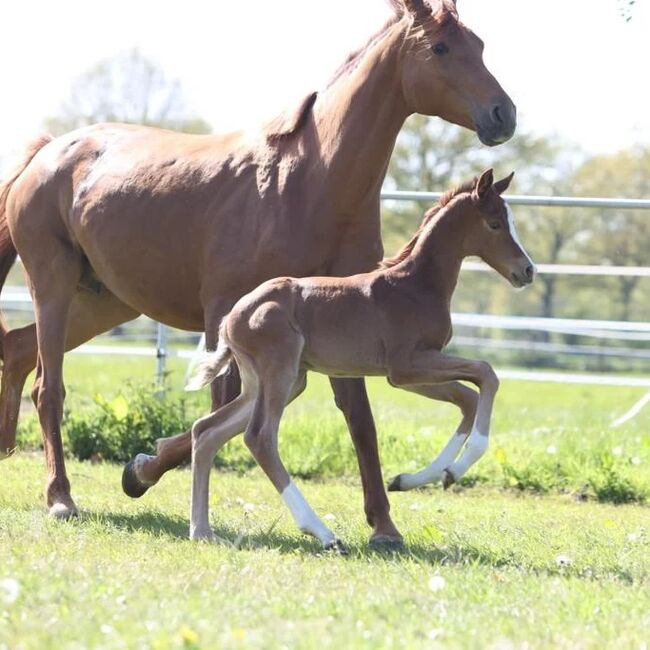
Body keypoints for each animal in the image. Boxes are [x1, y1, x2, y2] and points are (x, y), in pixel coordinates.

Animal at [186, 170, 532, 548]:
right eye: (495, 223)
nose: (528, 270)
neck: (415, 286)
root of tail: (233, 315)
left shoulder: (411, 373)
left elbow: (468, 397)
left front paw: (420, 477)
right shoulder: (407, 365)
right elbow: (486, 374)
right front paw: (454, 468)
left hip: (275, 381)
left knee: (206, 430)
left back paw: (201, 530)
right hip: (280, 371)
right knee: (259, 436)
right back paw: (322, 533)